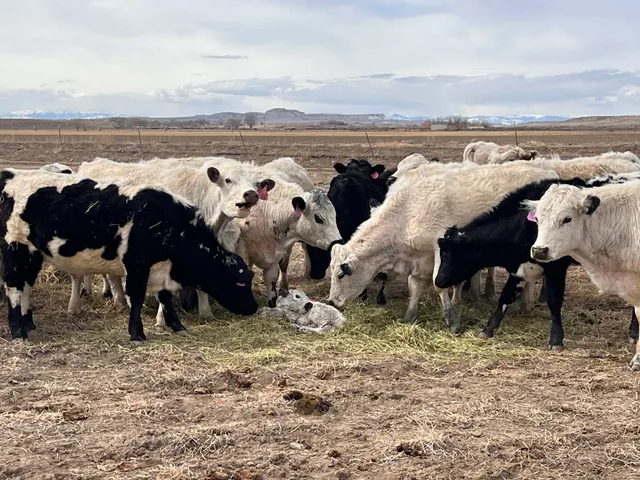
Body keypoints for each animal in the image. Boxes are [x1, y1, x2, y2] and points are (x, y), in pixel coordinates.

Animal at [0, 168, 258, 343]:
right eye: (241, 282)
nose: (253, 307)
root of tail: (11, 175)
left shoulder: (160, 268)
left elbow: (165, 298)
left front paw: (177, 326)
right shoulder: (137, 264)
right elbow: (137, 296)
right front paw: (137, 333)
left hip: (32, 255)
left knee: (26, 287)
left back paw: (29, 324)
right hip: (15, 248)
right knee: (14, 287)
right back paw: (18, 331)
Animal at [328, 163, 560, 331]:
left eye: (341, 274)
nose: (331, 302)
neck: (408, 209)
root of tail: (548, 171)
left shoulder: (440, 249)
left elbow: (438, 284)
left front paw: (452, 321)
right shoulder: (420, 257)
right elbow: (414, 285)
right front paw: (410, 316)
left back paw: (527, 303)